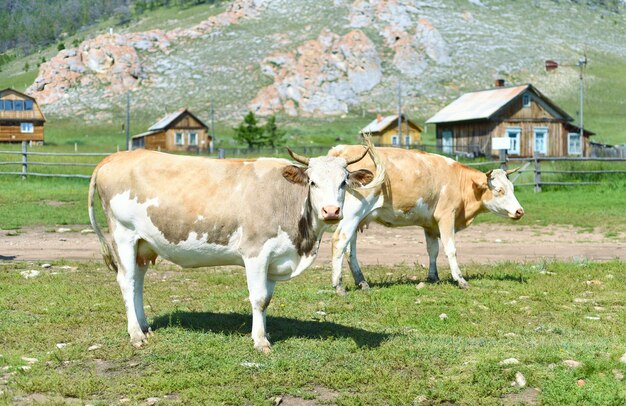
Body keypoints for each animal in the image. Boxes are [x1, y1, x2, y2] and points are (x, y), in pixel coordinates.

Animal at [87, 144, 380, 354]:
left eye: (343, 182)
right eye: (313, 182)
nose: (331, 211)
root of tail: (116, 157)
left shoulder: (275, 259)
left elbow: (267, 299)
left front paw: (264, 333)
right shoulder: (256, 252)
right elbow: (258, 298)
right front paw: (260, 341)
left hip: (143, 244)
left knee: (137, 282)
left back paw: (145, 326)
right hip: (124, 235)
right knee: (126, 282)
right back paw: (136, 334)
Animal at [326, 145, 520, 292]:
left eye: (511, 187)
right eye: (499, 190)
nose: (520, 211)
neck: (459, 181)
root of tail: (341, 150)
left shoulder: (430, 225)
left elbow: (432, 250)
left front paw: (433, 277)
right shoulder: (446, 216)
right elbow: (451, 249)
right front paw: (460, 279)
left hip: (356, 219)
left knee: (350, 250)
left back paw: (362, 282)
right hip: (352, 214)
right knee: (339, 242)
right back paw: (338, 285)